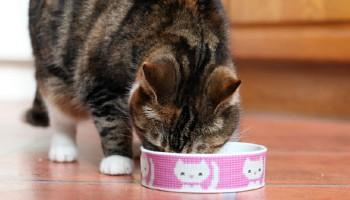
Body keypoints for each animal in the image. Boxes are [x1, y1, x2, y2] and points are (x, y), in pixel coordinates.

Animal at [26, 0, 241, 175]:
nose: (169, 160)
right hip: (53, 70)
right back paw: (63, 150)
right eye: (157, 144)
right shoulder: (102, 83)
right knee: (60, 113)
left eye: (195, 150)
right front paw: (117, 160)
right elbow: (112, 123)